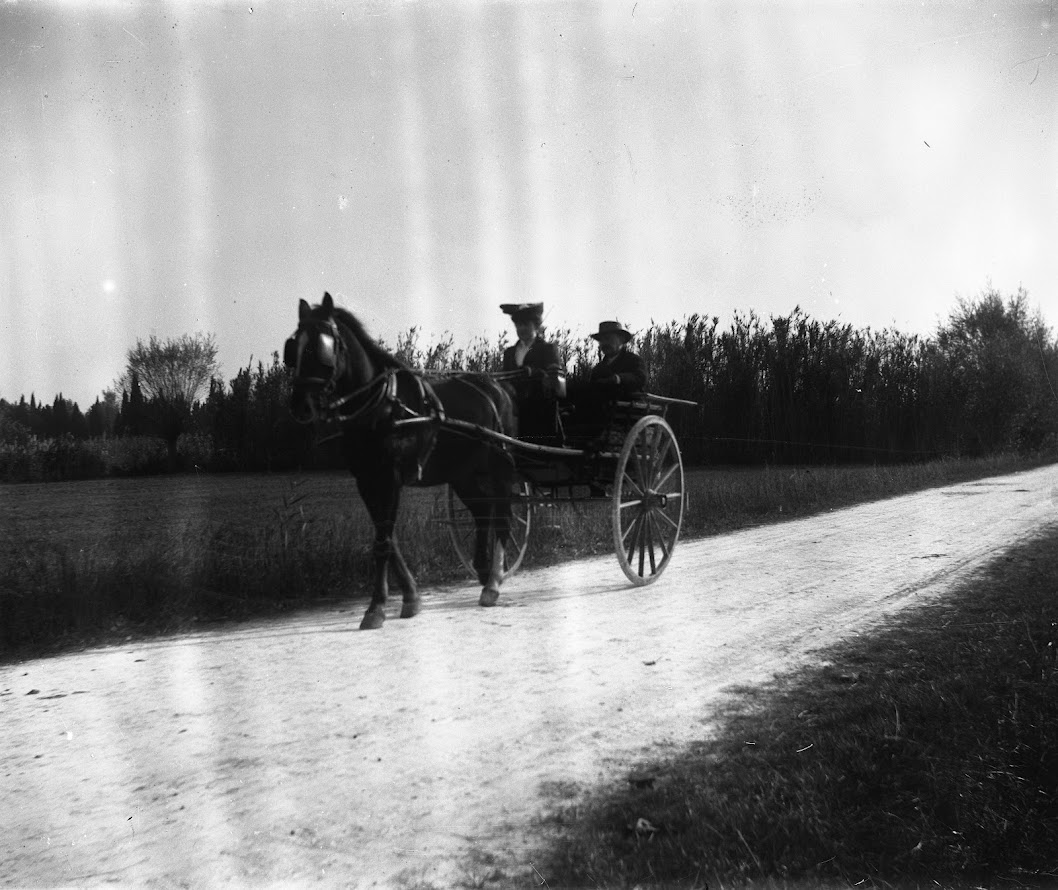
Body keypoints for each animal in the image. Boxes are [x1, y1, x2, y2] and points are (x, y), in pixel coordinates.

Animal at [285, 294, 516, 626]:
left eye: (322, 346)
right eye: (293, 347)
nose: (300, 405)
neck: (380, 406)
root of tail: (499, 387)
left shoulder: (390, 477)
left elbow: (383, 542)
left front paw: (376, 608)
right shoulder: (366, 480)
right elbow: (387, 539)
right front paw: (410, 596)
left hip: (498, 466)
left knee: (503, 516)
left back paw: (494, 582)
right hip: (462, 473)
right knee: (483, 512)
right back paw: (484, 575)